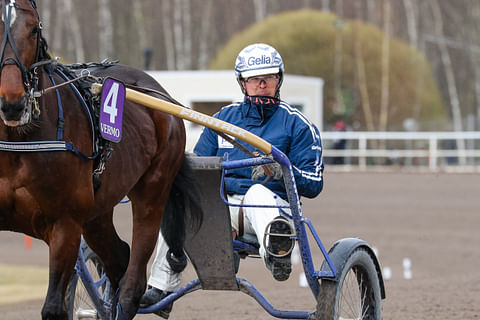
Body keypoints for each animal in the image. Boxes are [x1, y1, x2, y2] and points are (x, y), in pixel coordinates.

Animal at [0, 1, 201, 318]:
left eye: (33, 29)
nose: (12, 102)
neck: (18, 139)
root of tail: (158, 92)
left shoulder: (65, 224)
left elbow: (54, 307)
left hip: (153, 190)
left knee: (132, 282)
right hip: (98, 210)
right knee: (118, 259)